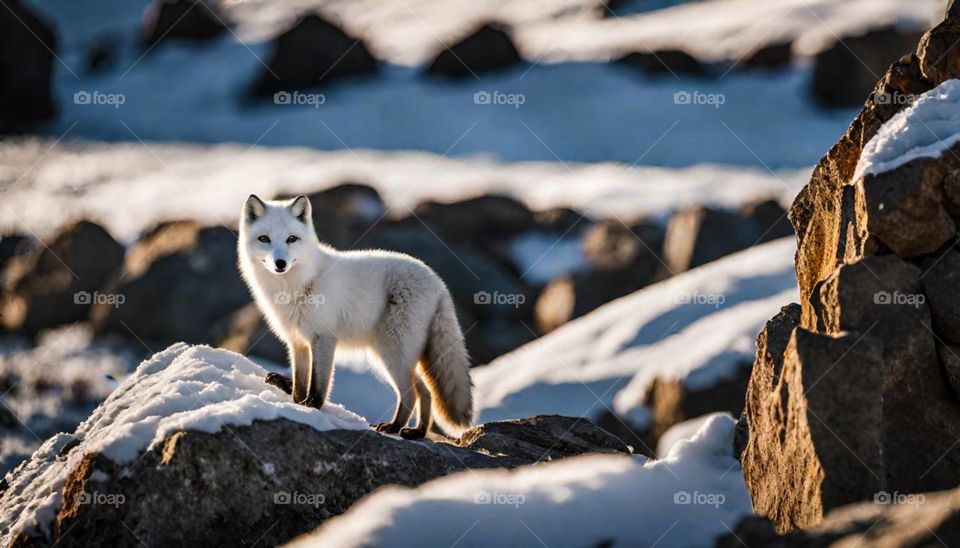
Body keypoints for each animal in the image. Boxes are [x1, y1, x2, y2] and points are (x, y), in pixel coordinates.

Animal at [238, 194, 474, 439]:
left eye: (291, 239)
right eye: (264, 239)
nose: (280, 264)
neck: (299, 284)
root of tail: (439, 283)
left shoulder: (324, 337)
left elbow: (319, 381)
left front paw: (312, 405)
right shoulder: (297, 342)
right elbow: (300, 382)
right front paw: (297, 402)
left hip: (392, 354)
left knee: (410, 394)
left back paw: (395, 426)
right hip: (390, 356)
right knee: (425, 391)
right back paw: (417, 431)